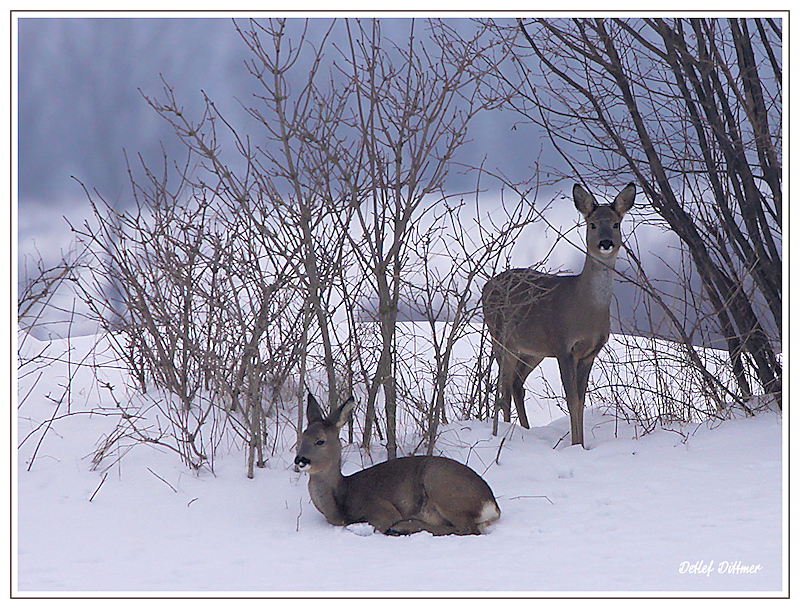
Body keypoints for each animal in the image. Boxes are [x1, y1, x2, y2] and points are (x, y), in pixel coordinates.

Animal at [292, 392, 500, 536]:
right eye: (301, 437)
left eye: (320, 441)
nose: (300, 460)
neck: (340, 501)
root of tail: (492, 505)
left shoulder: (381, 509)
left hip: (440, 485)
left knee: (466, 528)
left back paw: (402, 527)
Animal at [484, 182, 636, 446]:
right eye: (592, 224)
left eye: (616, 223)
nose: (606, 242)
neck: (585, 307)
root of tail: (485, 287)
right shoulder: (563, 344)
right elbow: (572, 399)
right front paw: (575, 445)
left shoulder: (589, 353)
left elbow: (581, 401)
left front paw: (581, 444)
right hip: (502, 338)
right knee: (504, 386)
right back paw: (504, 432)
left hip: (532, 350)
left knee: (516, 384)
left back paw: (525, 429)